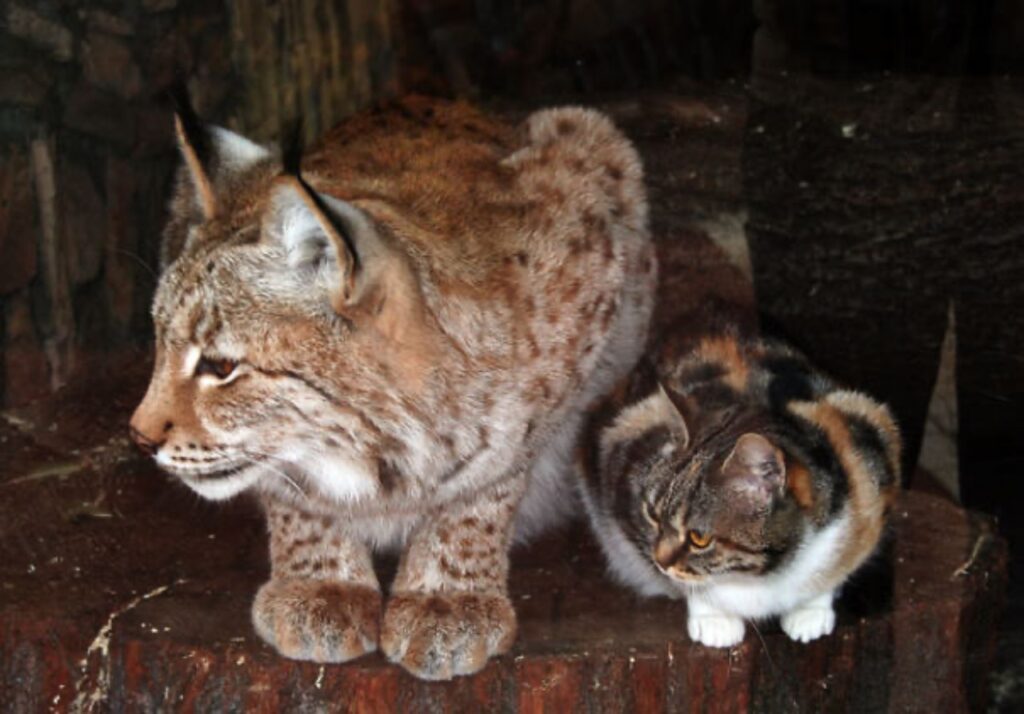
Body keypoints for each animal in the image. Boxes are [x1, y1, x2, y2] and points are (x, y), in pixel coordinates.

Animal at [132, 96, 655, 680]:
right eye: (159, 342)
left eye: (221, 366)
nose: (139, 438)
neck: (380, 451)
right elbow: (292, 489)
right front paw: (322, 584)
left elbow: (492, 473)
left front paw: (446, 599)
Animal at [581, 307, 901, 647]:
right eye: (652, 515)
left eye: (699, 538)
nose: (660, 561)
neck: (762, 576)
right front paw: (714, 620)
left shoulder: (869, 456)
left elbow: (838, 568)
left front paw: (811, 612)